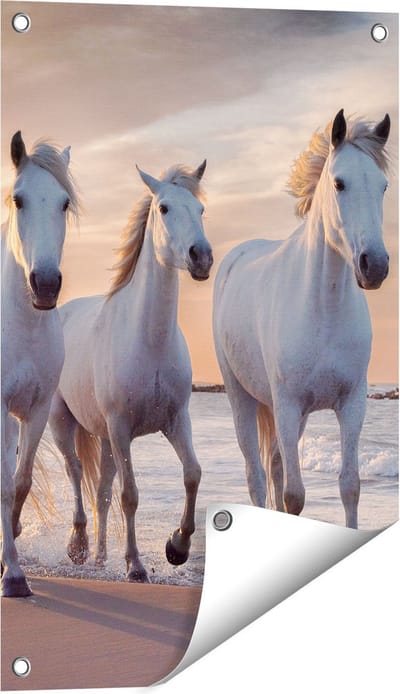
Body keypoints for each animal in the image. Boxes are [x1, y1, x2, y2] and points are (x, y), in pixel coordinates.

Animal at [48, 160, 213, 582]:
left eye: (201, 209)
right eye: (164, 208)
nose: (201, 257)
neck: (149, 341)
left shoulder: (176, 421)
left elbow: (192, 474)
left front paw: (177, 547)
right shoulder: (122, 428)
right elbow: (130, 495)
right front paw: (136, 565)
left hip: (105, 438)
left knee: (101, 491)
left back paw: (101, 556)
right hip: (63, 422)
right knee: (76, 472)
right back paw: (78, 546)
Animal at [213, 110, 390, 529]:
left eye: (383, 186)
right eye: (339, 183)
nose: (374, 266)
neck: (323, 309)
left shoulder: (351, 404)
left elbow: (350, 486)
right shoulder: (288, 405)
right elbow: (294, 496)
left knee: (275, 465)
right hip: (242, 398)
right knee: (256, 476)